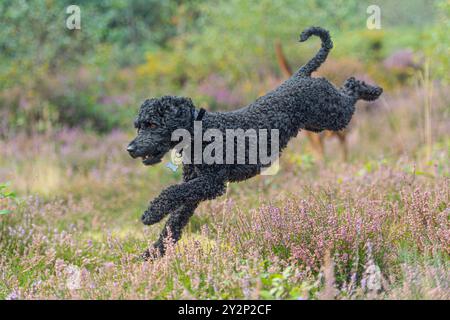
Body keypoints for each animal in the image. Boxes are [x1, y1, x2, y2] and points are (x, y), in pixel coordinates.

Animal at [127, 26, 384, 258]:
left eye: (152, 124)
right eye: (138, 125)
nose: (130, 149)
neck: (200, 132)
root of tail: (299, 76)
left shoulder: (212, 182)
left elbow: (172, 192)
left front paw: (152, 213)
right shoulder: (197, 187)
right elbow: (175, 219)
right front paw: (154, 251)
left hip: (333, 114)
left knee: (350, 88)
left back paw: (372, 90)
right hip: (319, 123)